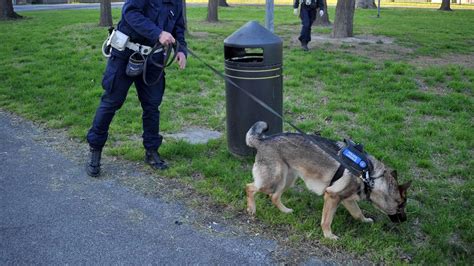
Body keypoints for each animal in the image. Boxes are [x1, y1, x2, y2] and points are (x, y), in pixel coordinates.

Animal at [244, 121, 412, 240]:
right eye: (401, 206)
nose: (405, 220)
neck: (369, 176)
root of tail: (263, 140)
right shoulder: (332, 197)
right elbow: (326, 221)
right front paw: (328, 236)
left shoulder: (347, 200)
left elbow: (357, 213)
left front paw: (364, 221)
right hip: (272, 182)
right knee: (249, 187)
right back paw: (251, 209)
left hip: (287, 181)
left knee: (274, 197)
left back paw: (285, 211)